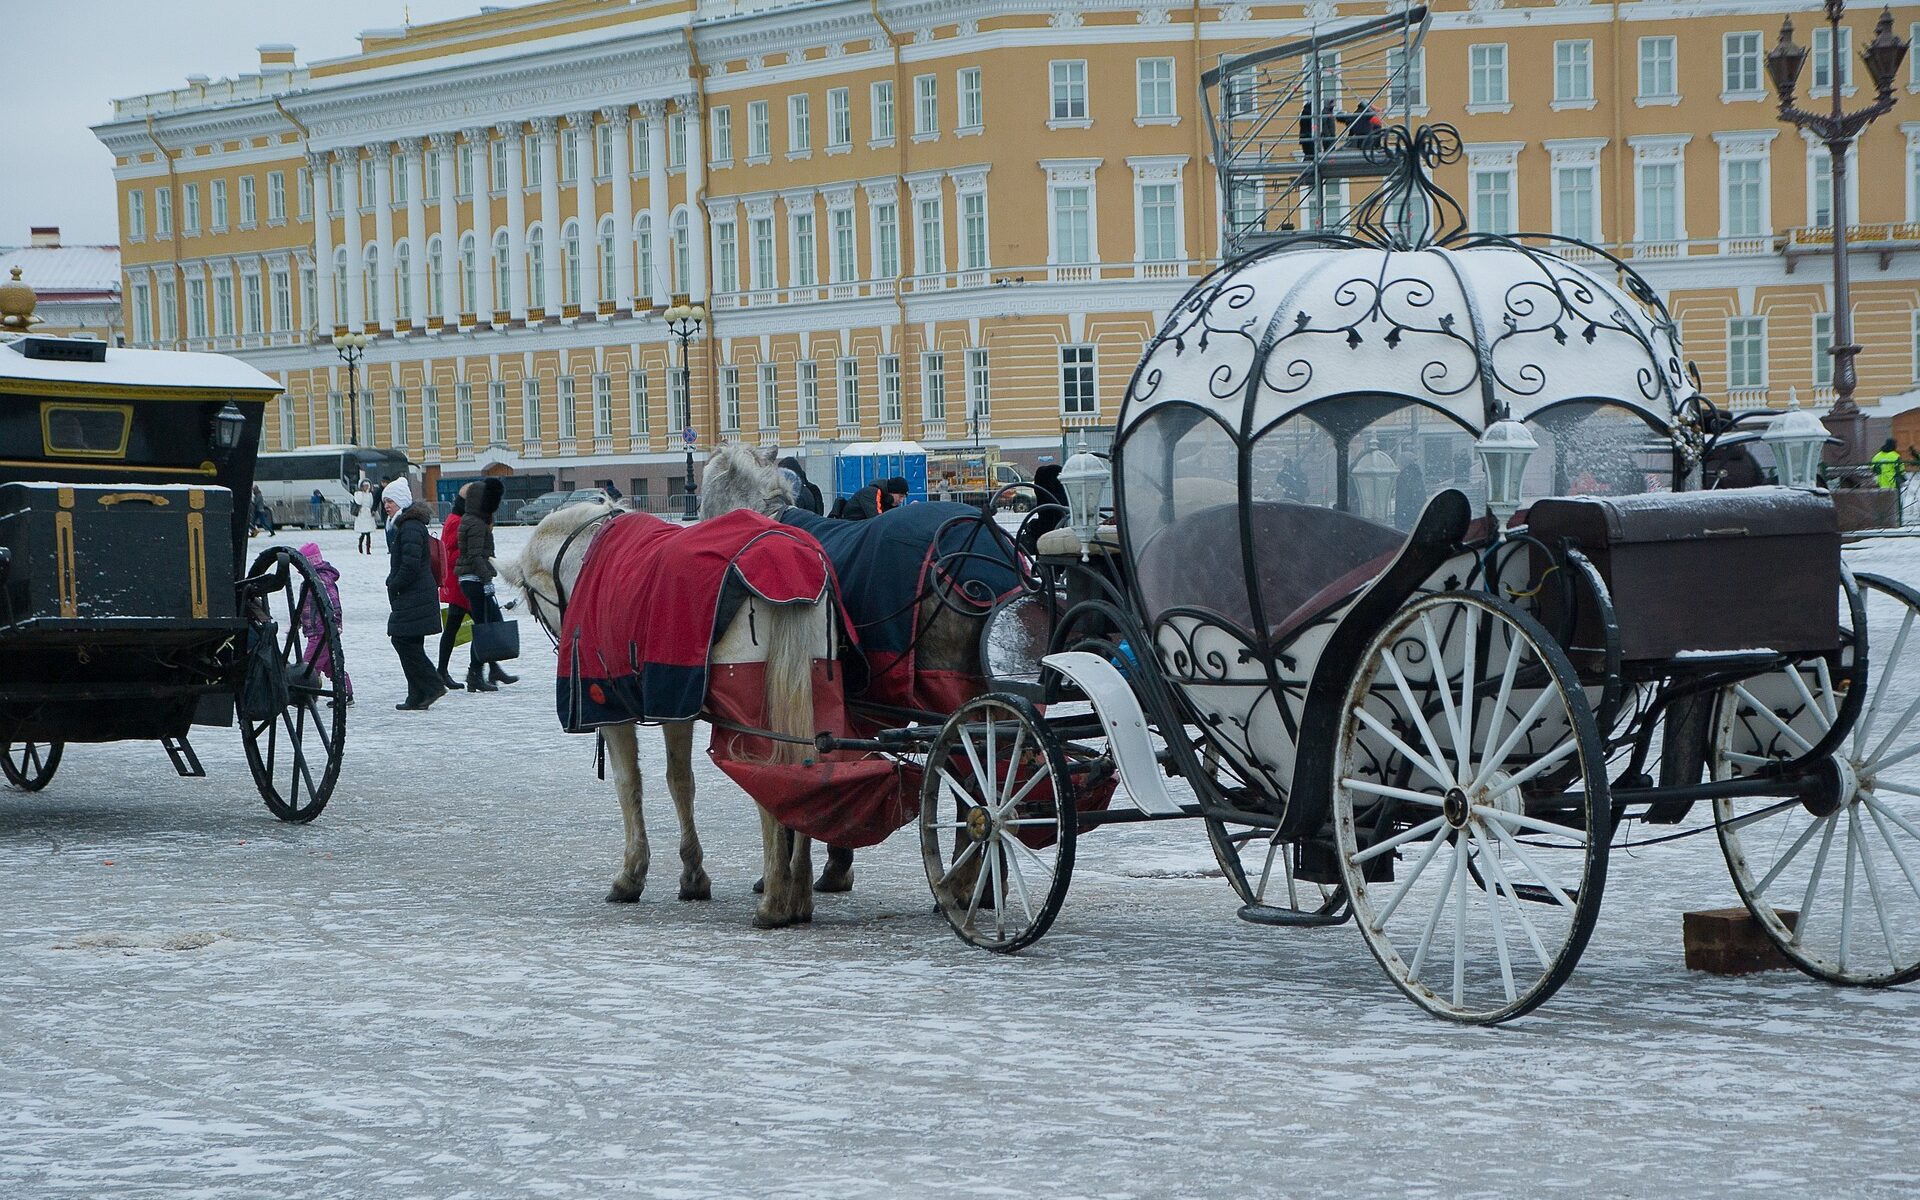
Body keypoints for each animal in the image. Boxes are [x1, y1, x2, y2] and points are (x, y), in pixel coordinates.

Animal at [495, 481, 825, 933]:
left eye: (532, 601)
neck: (587, 559)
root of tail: (786, 563)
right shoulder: (675, 701)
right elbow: (680, 782)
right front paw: (693, 876)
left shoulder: (611, 707)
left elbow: (628, 784)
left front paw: (631, 874)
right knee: (807, 773)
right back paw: (801, 894)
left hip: (750, 713)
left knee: (771, 780)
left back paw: (775, 900)